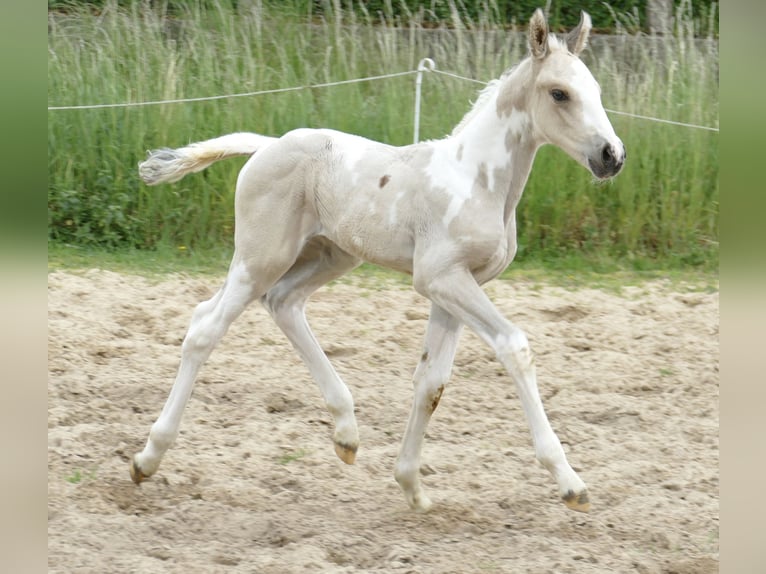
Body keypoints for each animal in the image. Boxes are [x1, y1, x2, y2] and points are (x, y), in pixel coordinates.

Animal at [131, 9, 625, 514]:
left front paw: (412, 487)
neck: (477, 181)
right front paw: (570, 482)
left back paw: (346, 434)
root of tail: (267, 145)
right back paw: (147, 458)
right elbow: (514, 347)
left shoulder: (456, 288)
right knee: (205, 327)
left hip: (330, 256)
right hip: (261, 256)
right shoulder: (440, 278)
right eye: (559, 93)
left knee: (282, 303)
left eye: (596, 90)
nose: (612, 156)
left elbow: (431, 382)